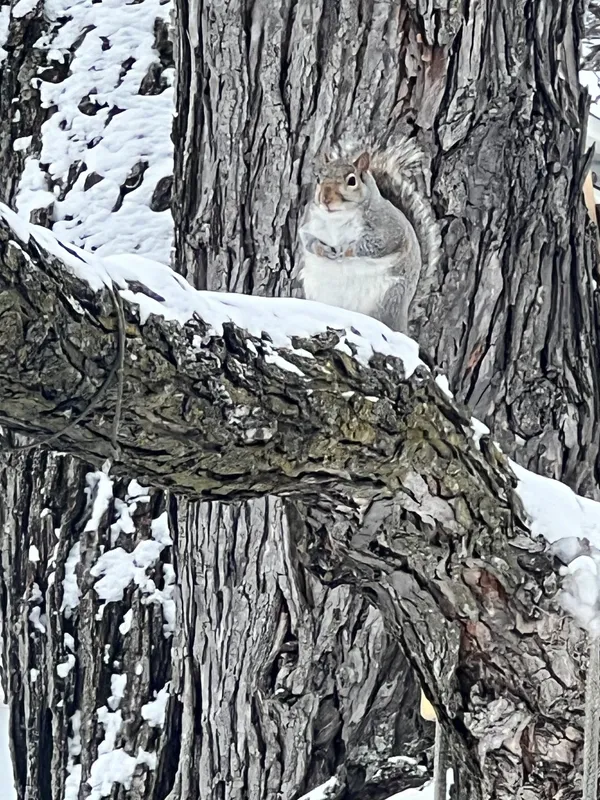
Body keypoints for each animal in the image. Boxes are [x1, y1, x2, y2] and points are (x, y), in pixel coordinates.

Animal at [298, 139, 440, 332]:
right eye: (319, 179)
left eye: (352, 180)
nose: (325, 199)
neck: (338, 217)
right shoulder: (309, 222)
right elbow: (307, 239)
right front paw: (323, 250)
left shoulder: (390, 229)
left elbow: (377, 245)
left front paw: (346, 249)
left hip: (390, 300)